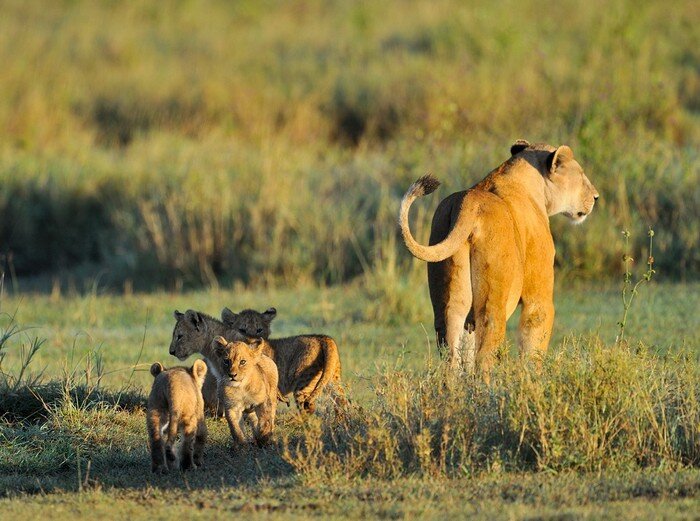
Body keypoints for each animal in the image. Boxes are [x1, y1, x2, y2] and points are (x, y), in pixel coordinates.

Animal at [400, 141, 596, 378]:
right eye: (581, 174)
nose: (596, 197)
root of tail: (468, 202)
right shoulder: (538, 297)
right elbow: (534, 342)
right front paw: (532, 380)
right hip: (493, 299)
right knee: (484, 353)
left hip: (448, 297)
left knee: (451, 353)